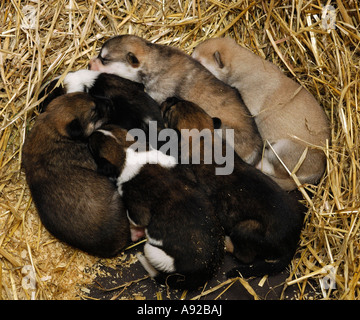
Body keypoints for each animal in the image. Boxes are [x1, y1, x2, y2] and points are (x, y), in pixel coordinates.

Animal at [88, 125, 224, 290]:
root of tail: (203, 272)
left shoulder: (137, 210)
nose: (89, 135)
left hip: (152, 251)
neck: (126, 149)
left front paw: (135, 231)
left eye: (91, 147)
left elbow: (133, 219)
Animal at [162, 97, 306, 278]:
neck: (204, 139)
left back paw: (227, 242)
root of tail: (290, 245)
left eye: (169, 111)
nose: (170, 98)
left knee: (244, 256)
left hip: (245, 228)